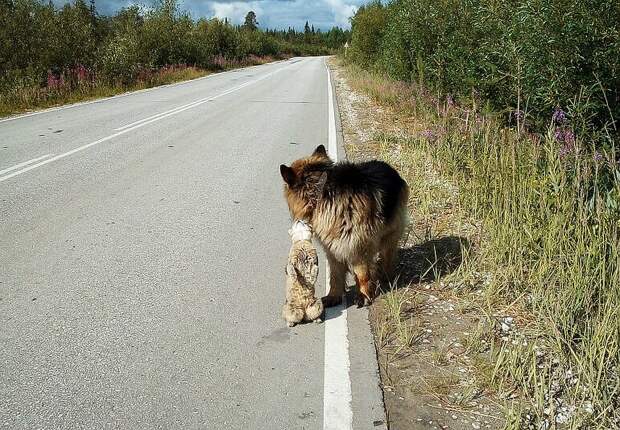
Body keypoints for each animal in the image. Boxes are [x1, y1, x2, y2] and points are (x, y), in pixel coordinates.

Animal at [280, 144, 406, 306]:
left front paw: (364, 295)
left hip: (390, 233)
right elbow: (335, 274)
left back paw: (385, 276)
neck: (321, 192)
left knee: (387, 255)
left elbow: (362, 273)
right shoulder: (333, 247)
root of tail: (388, 166)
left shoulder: (357, 245)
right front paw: (333, 296)